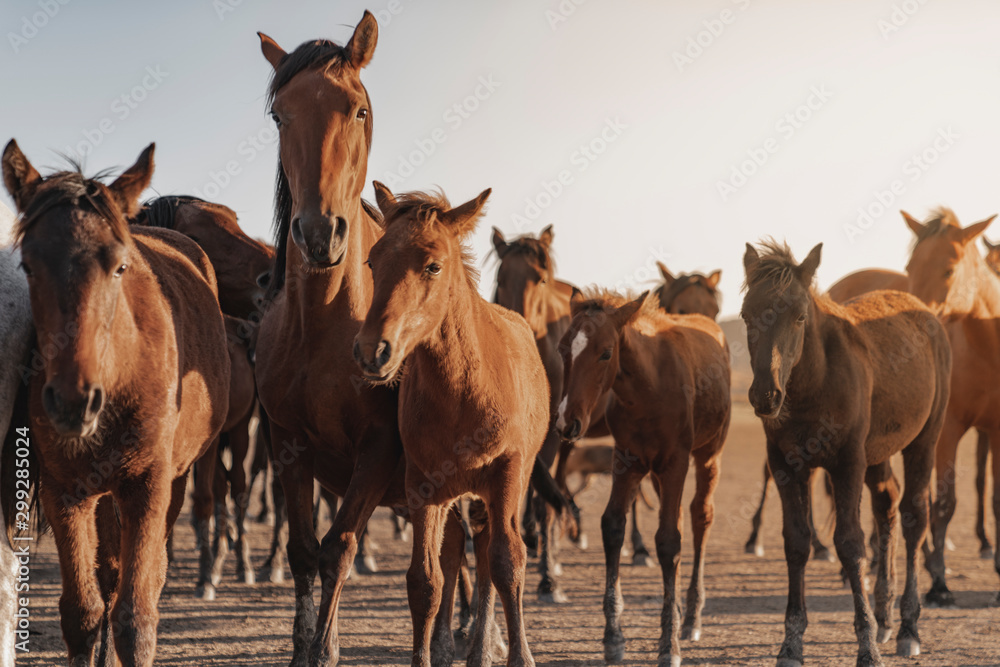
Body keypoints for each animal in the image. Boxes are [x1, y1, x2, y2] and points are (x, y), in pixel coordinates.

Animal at [1, 140, 230, 666]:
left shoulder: (148, 485)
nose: (73, 401)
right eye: (27, 266)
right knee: (106, 573)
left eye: (120, 267)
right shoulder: (65, 491)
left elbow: (136, 616)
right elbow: (82, 611)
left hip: (174, 480)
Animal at [251, 15, 468, 666]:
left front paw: (325, 649)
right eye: (280, 116)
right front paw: (307, 648)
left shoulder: (378, 449)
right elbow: (303, 552)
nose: (320, 232)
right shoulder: (288, 445)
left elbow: (341, 547)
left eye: (358, 109)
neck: (325, 323)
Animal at [355, 183, 550, 667]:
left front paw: (518, 654)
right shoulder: (423, 488)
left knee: (488, 554)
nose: (372, 351)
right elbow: (425, 580)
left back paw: (481, 646)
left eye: (433, 265)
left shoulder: (506, 476)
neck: (465, 392)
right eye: (372, 261)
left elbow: (506, 563)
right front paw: (430, 653)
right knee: (458, 550)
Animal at [555, 289, 730, 666]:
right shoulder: (627, 461)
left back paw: (691, 618)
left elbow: (669, 541)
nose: (566, 422)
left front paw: (669, 645)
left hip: (708, 455)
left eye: (606, 352)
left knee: (700, 516)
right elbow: (612, 527)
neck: (649, 389)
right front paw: (613, 637)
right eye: (562, 349)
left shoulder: (675, 462)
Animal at [741, 240, 951, 666]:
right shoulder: (787, 465)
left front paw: (866, 646)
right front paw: (791, 644)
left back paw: (907, 627)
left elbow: (850, 543)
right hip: (879, 453)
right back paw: (886, 615)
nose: (765, 396)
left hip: (923, 441)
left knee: (914, 517)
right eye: (745, 315)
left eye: (800, 316)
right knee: (887, 503)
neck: (816, 382)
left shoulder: (847, 463)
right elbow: (797, 542)